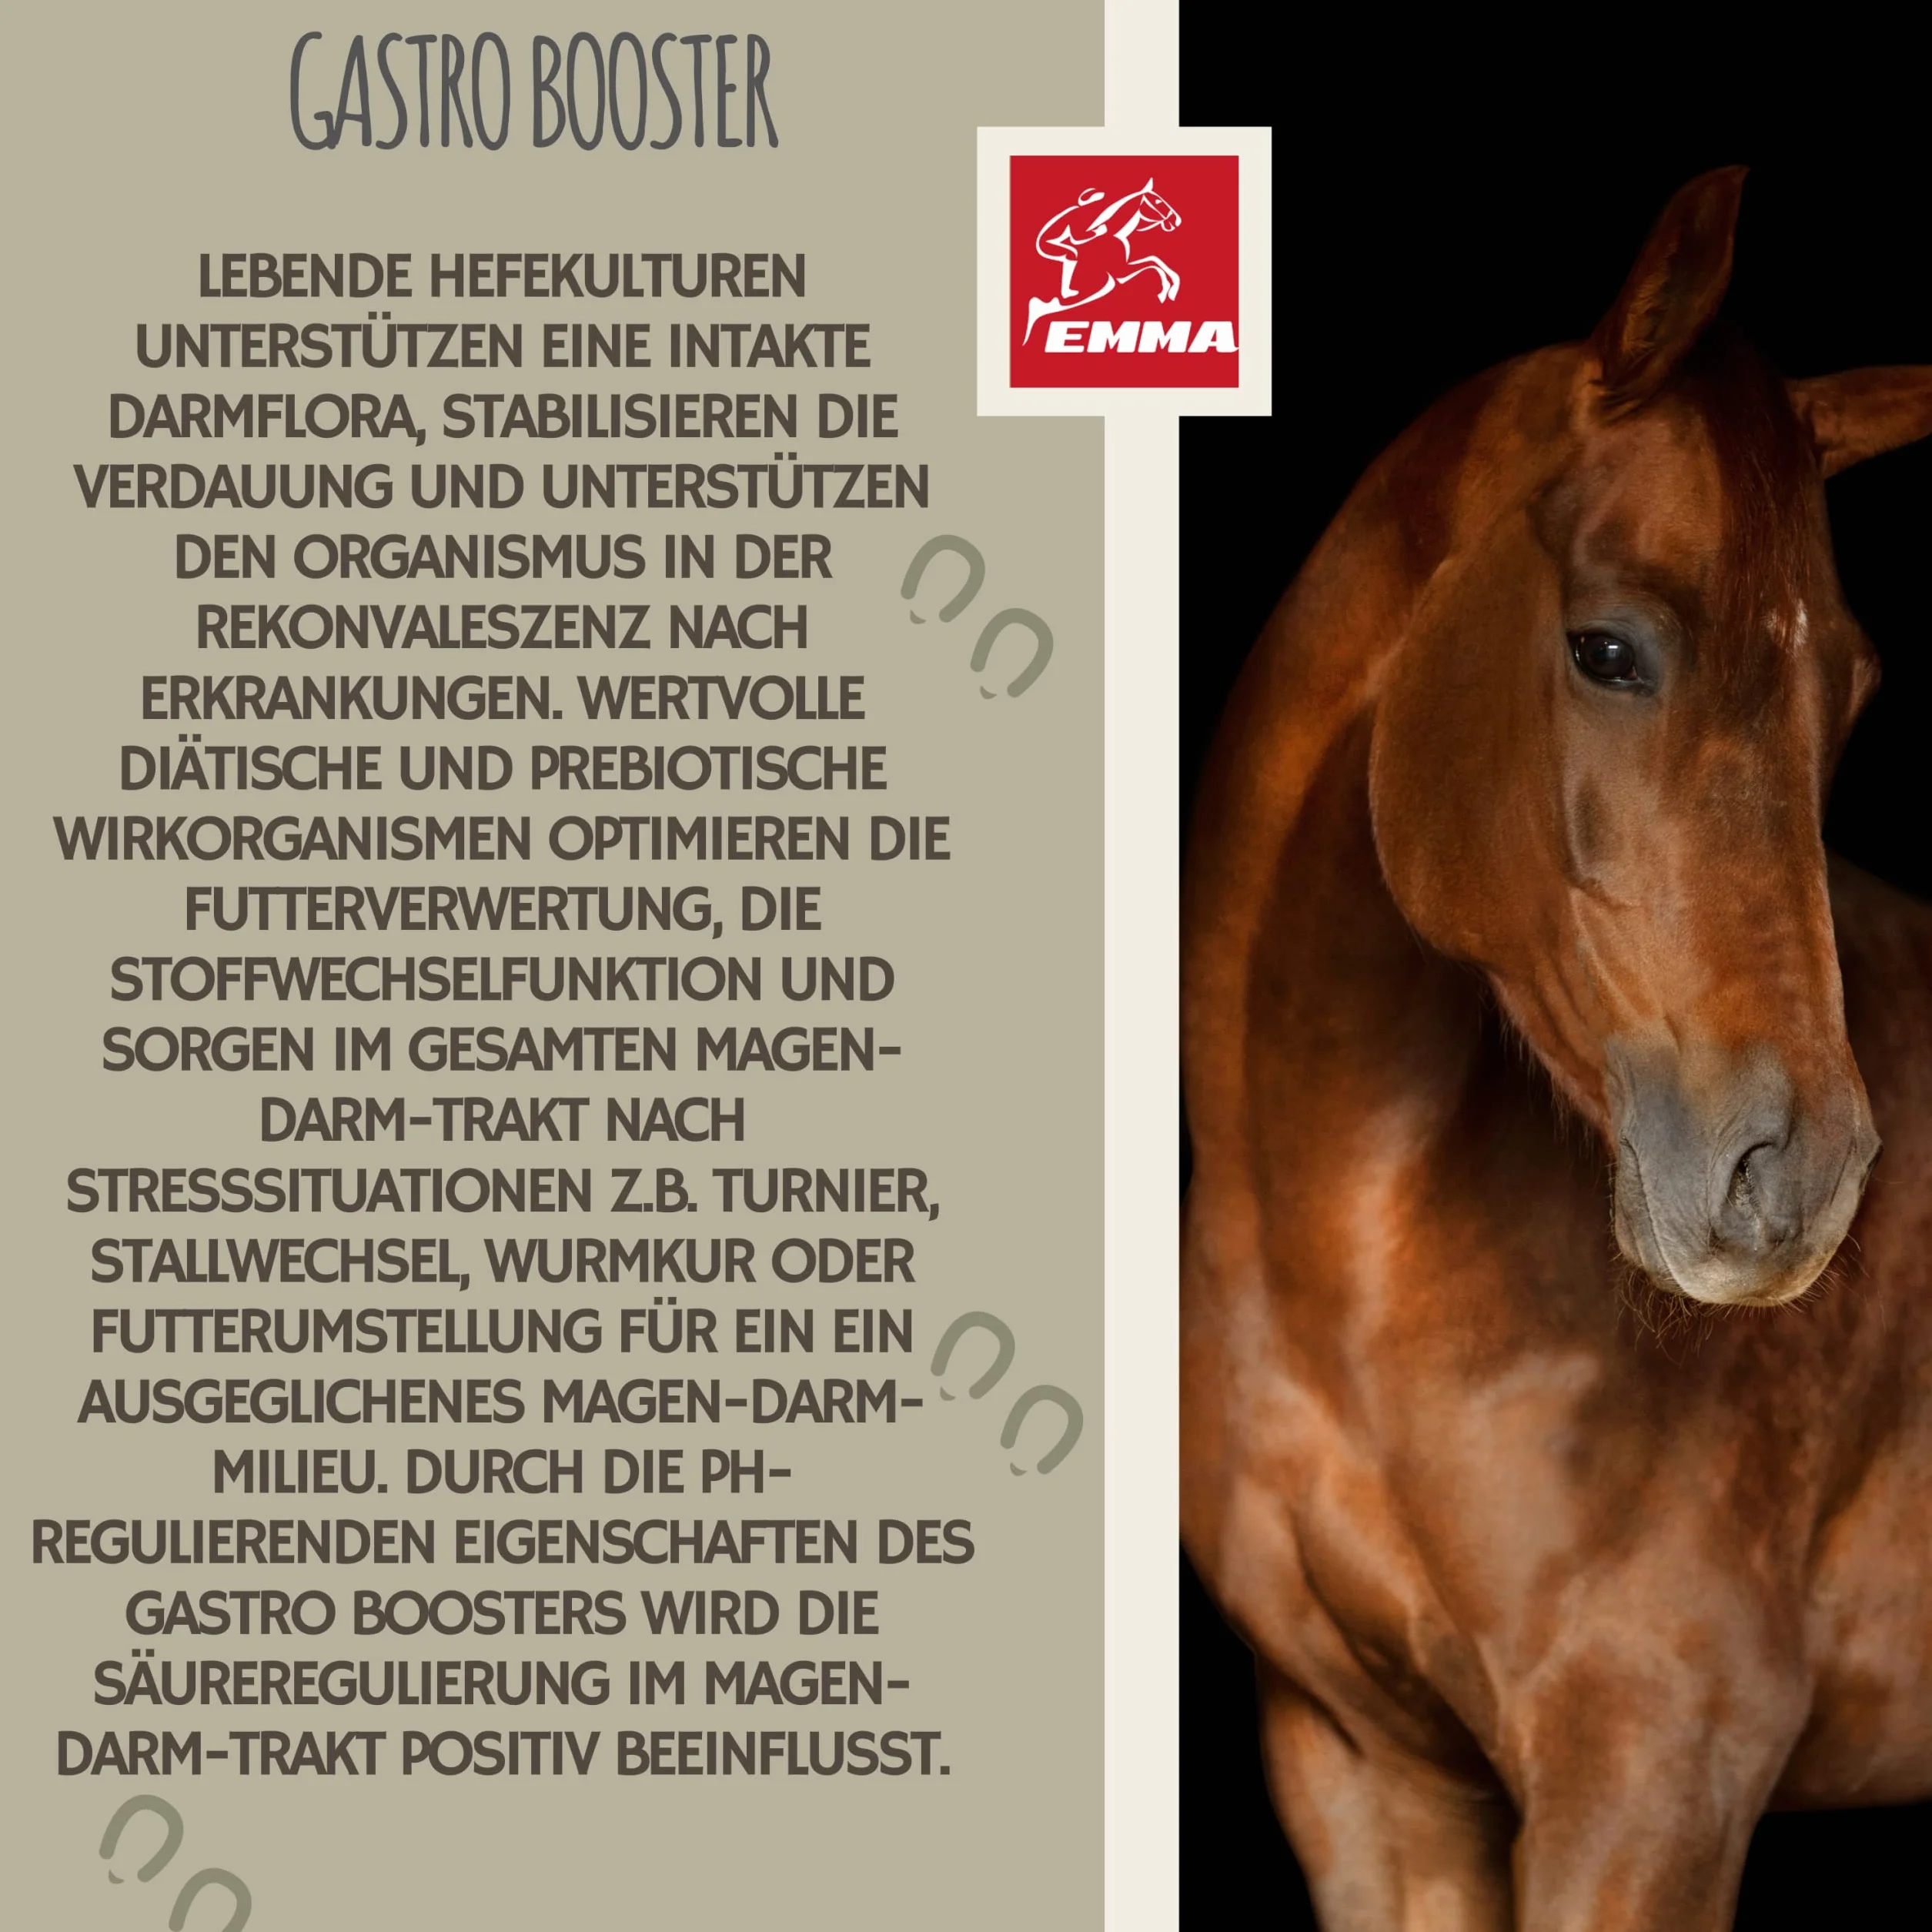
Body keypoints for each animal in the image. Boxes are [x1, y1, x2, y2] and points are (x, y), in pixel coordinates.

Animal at [1180, 167, 1932, 1930]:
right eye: (1607, 648)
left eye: (1850, 687)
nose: (1796, 1179)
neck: (1350, 1270)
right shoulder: (1365, 1772)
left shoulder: (1651, 1778)